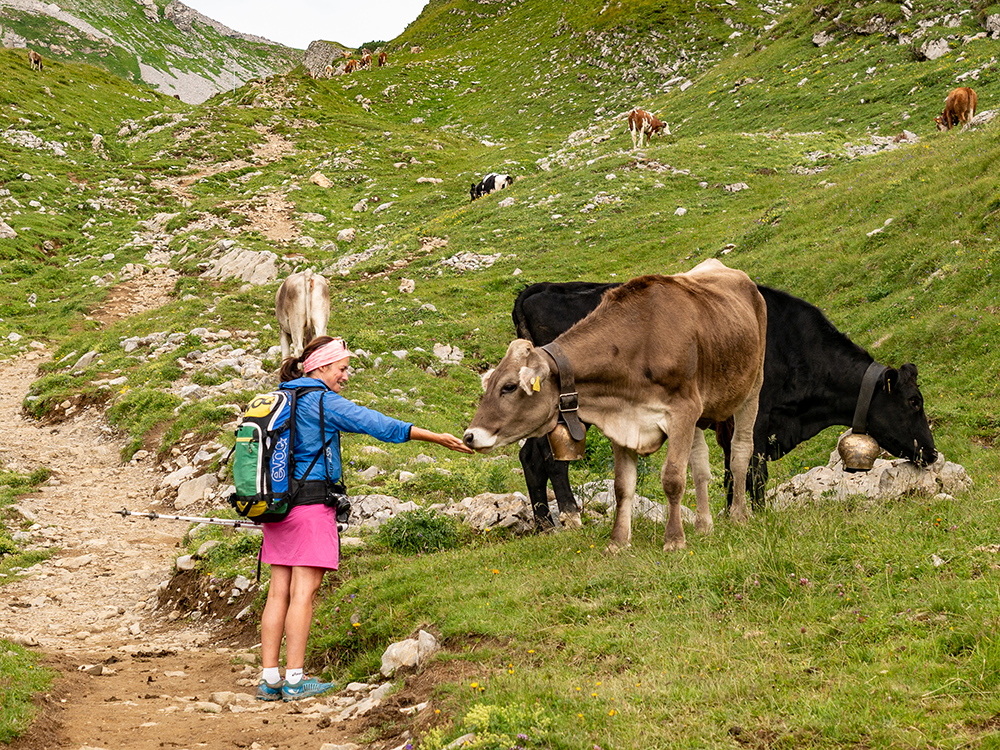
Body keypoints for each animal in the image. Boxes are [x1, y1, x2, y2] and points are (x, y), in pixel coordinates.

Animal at [464, 262, 768, 556]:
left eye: (509, 387)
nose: (470, 436)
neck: (641, 342)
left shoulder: (682, 411)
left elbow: (673, 477)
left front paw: (674, 540)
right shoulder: (621, 418)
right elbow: (623, 486)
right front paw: (618, 542)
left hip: (751, 388)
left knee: (740, 451)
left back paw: (739, 516)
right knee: (700, 464)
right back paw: (704, 525)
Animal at [512, 278, 940, 528]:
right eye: (914, 401)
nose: (932, 453)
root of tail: (537, 288)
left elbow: (732, 471)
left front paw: (730, 514)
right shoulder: (758, 416)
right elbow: (753, 470)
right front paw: (756, 516)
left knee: (532, 456)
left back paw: (548, 522)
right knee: (547, 458)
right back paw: (567, 517)